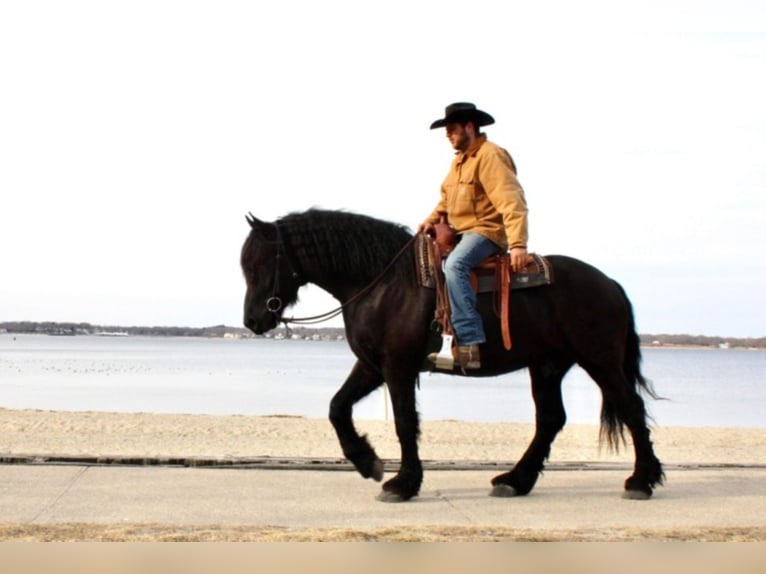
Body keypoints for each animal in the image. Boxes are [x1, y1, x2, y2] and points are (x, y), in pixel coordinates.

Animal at [243, 209, 664, 502]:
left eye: (261, 263)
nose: (252, 320)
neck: (384, 282)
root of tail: (609, 284)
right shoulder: (372, 365)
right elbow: (337, 407)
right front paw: (367, 462)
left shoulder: (397, 367)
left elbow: (404, 422)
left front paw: (403, 483)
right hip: (547, 366)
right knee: (550, 420)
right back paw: (515, 481)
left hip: (600, 360)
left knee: (631, 408)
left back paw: (641, 480)